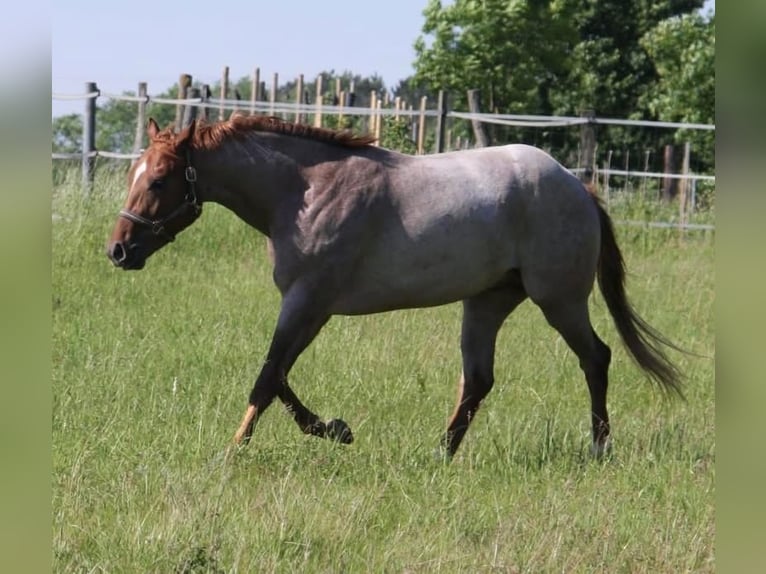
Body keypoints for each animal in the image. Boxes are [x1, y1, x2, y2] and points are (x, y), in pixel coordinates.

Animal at [106, 115, 682, 459]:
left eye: (158, 179)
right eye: (135, 174)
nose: (118, 251)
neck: (304, 192)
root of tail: (577, 186)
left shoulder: (309, 301)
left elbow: (267, 377)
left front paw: (233, 450)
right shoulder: (306, 304)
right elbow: (279, 373)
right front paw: (336, 428)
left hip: (558, 299)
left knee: (596, 358)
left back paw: (600, 448)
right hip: (488, 301)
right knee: (478, 381)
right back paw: (439, 454)